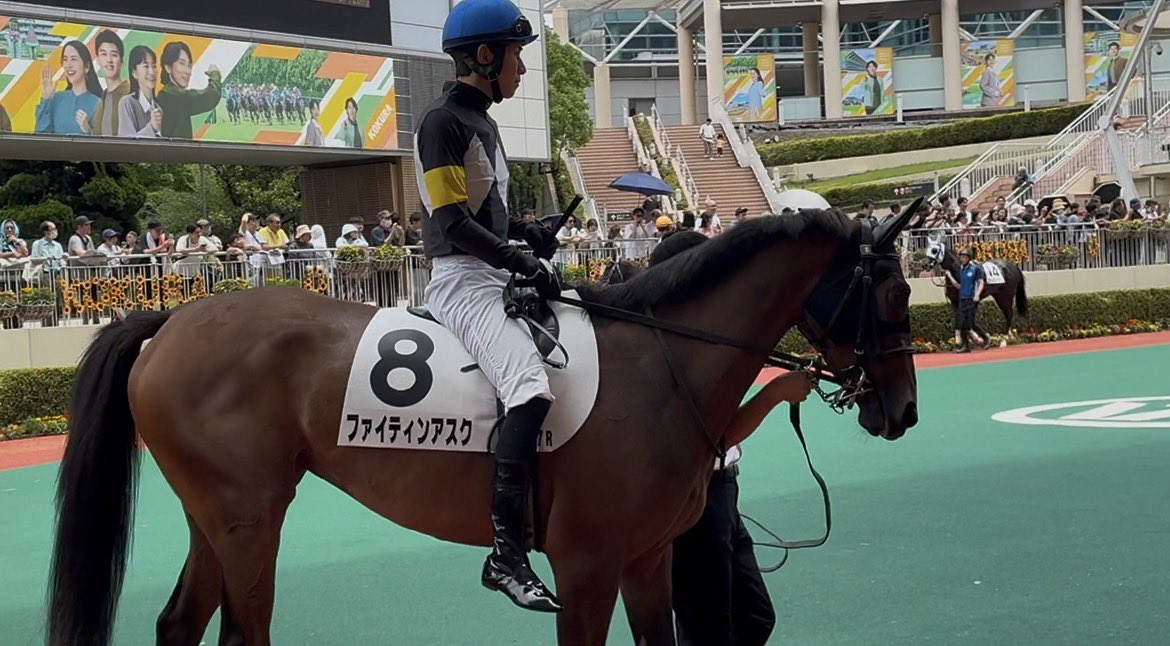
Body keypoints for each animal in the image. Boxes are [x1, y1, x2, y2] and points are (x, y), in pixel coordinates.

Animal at [47, 206, 922, 646]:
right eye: (893, 295)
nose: (904, 410)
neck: (662, 364)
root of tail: (171, 320)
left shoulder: (647, 561)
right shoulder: (586, 566)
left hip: (219, 516)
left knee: (178, 625)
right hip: (251, 521)